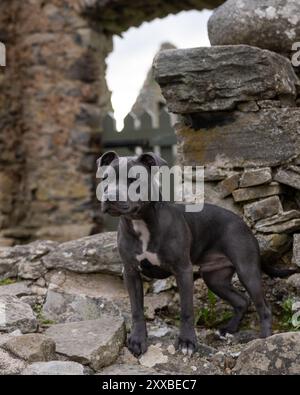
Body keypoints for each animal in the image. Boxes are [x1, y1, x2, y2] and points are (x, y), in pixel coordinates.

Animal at [97, 152, 296, 358]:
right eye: (105, 179)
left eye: (133, 179)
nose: (109, 197)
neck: (140, 223)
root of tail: (243, 223)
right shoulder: (130, 272)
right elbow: (136, 309)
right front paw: (137, 340)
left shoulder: (183, 271)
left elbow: (186, 310)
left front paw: (187, 342)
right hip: (215, 279)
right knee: (242, 301)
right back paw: (229, 329)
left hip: (247, 271)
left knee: (263, 307)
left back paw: (264, 339)